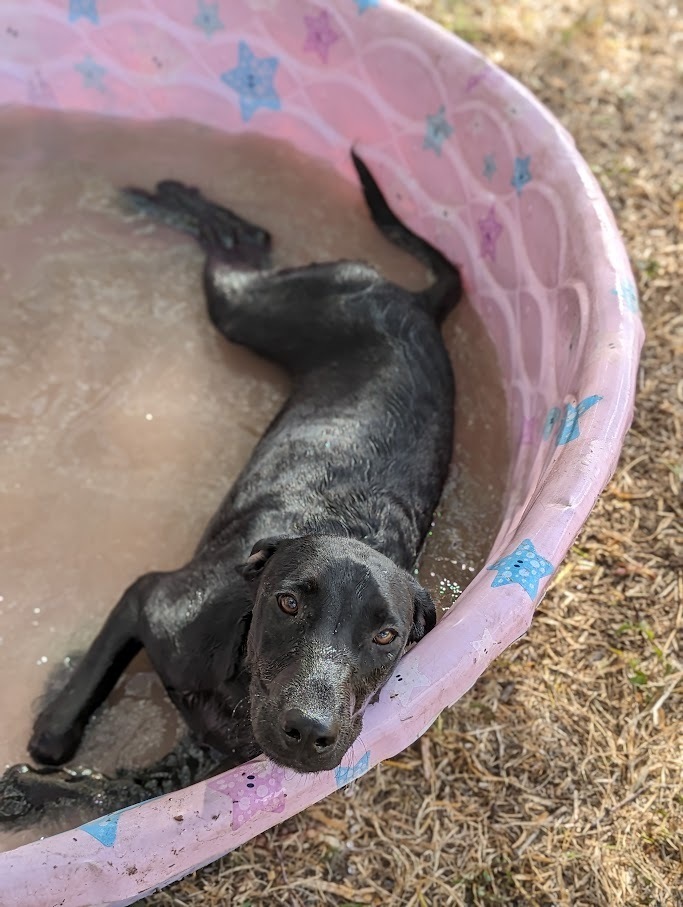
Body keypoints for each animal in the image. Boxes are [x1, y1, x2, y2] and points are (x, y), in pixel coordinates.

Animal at [0, 151, 462, 824]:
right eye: (288, 603)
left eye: (387, 637)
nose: (310, 731)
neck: (238, 674)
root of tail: (418, 304)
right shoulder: (148, 598)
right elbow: (62, 729)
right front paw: (43, 741)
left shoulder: (196, 761)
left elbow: (107, 789)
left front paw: (27, 790)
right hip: (250, 310)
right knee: (242, 240)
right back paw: (165, 196)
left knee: (248, 241)